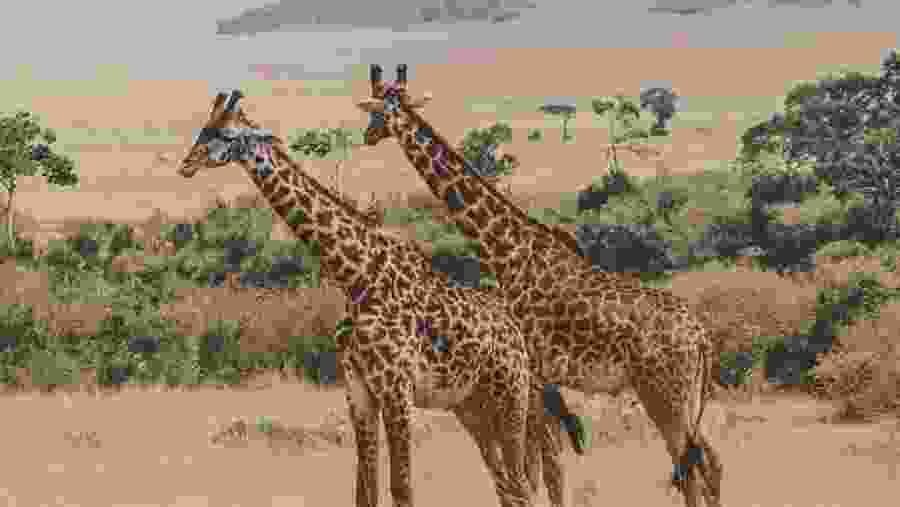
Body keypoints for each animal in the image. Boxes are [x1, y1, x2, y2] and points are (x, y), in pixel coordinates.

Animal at [178, 90, 538, 507]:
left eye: (227, 133)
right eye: (204, 127)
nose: (187, 164)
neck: (356, 277)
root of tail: (517, 332)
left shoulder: (396, 388)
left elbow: (402, 487)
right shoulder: (358, 390)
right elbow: (364, 490)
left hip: (512, 394)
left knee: (520, 483)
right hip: (472, 405)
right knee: (507, 485)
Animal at [356, 64, 724, 507]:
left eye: (377, 111)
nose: (367, 136)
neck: (506, 250)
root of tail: (702, 338)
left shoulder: (532, 373)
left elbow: (541, 465)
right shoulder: (539, 378)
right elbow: (543, 463)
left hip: (664, 394)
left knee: (692, 466)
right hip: (689, 396)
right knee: (708, 462)